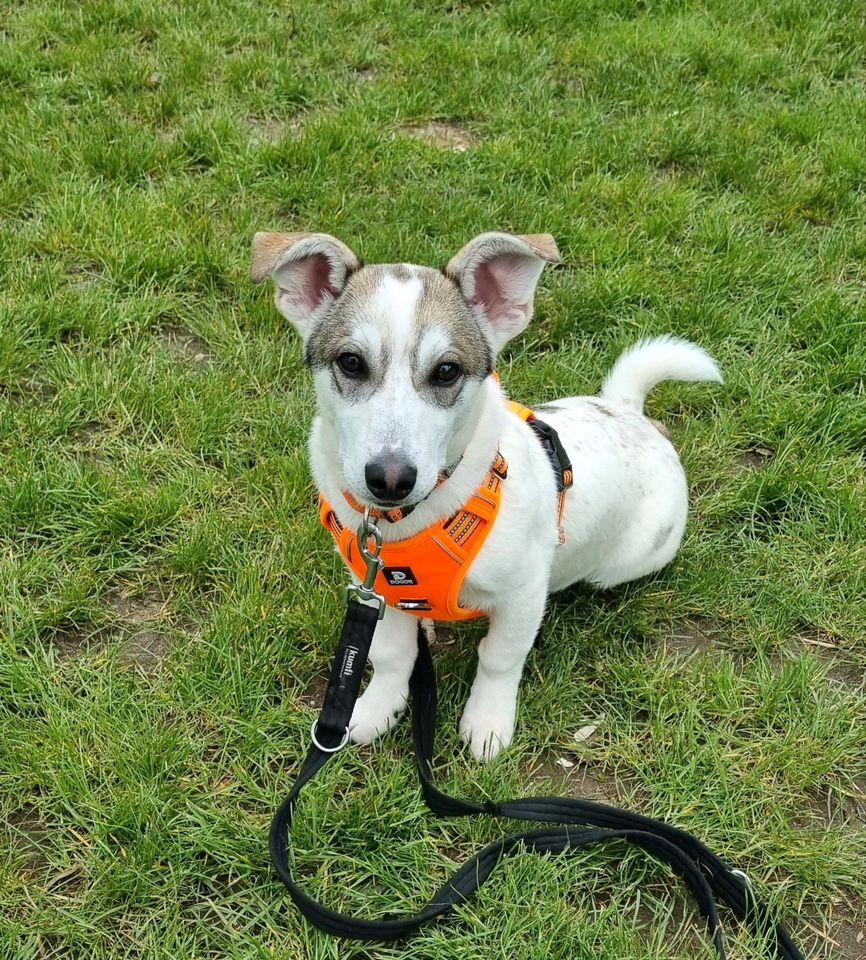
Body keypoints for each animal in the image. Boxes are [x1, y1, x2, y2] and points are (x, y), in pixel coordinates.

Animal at [251, 231, 724, 756]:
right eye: (350, 363)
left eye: (447, 371)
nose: (390, 478)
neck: (412, 519)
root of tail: (630, 412)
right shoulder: (378, 591)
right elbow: (391, 654)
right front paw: (377, 706)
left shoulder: (521, 595)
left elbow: (499, 658)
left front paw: (488, 721)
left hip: (626, 562)